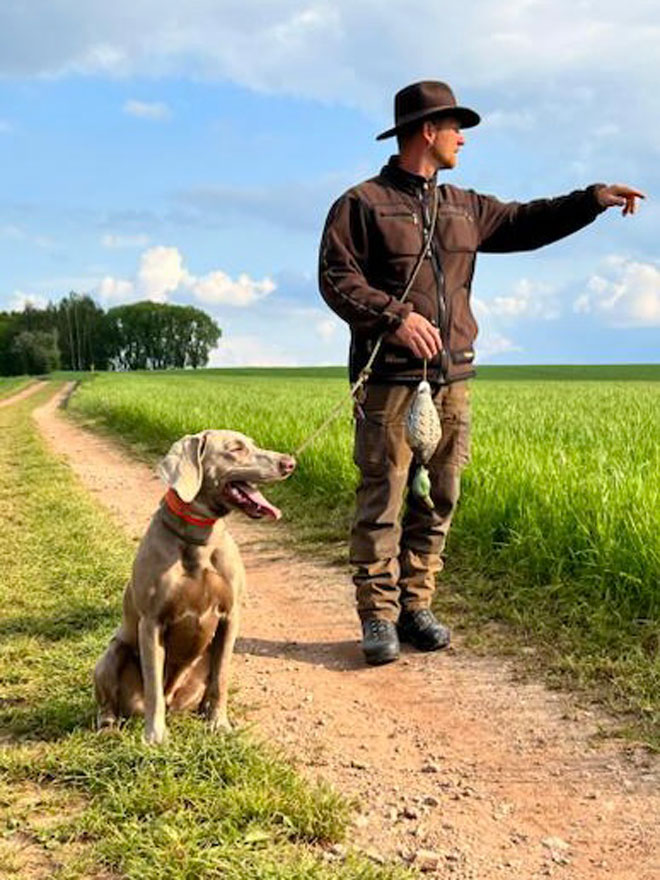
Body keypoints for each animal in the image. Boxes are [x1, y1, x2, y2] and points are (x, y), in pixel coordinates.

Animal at [94, 430, 296, 744]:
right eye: (236, 449)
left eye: (251, 443)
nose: (289, 463)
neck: (200, 537)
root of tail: (174, 701)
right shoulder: (151, 622)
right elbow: (153, 685)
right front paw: (155, 737)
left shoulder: (230, 616)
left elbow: (221, 678)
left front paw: (220, 724)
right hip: (111, 653)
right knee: (115, 698)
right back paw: (108, 725)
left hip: (204, 658)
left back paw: (204, 712)